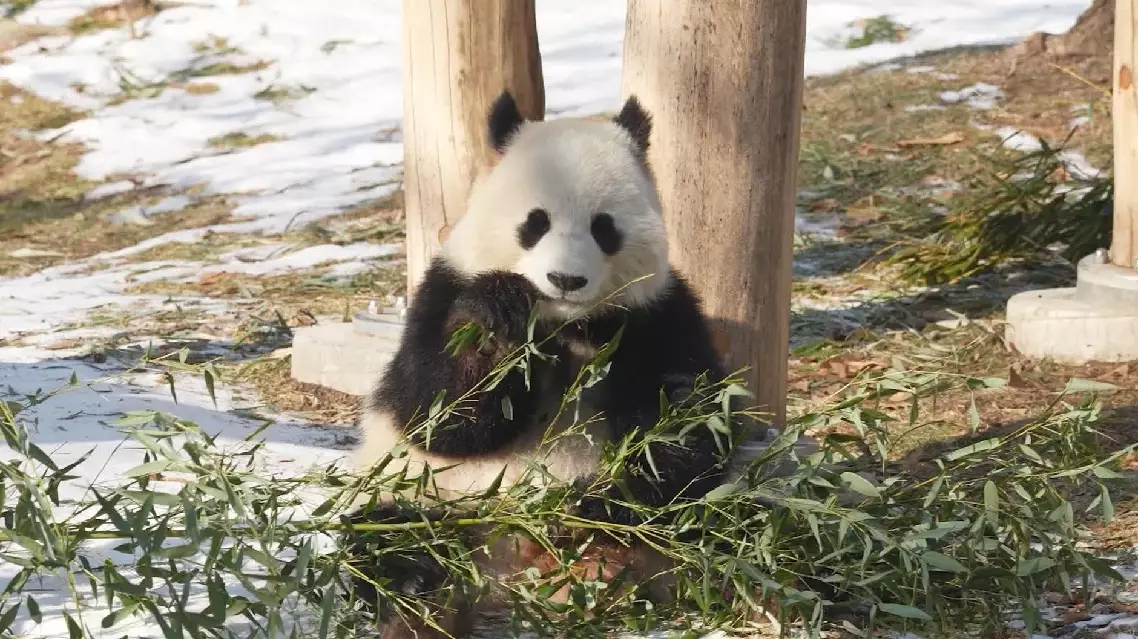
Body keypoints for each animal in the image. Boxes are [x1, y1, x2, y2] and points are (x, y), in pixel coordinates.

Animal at [339, 90, 744, 638]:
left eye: (604, 228)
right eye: (536, 222)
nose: (565, 280)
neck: (566, 324)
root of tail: (523, 574)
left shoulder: (658, 314)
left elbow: (693, 439)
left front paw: (658, 431)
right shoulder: (442, 292)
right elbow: (435, 414)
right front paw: (496, 325)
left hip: (699, 527)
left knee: (734, 527)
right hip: (425, 496)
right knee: (388, 535)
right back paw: (415, 585)